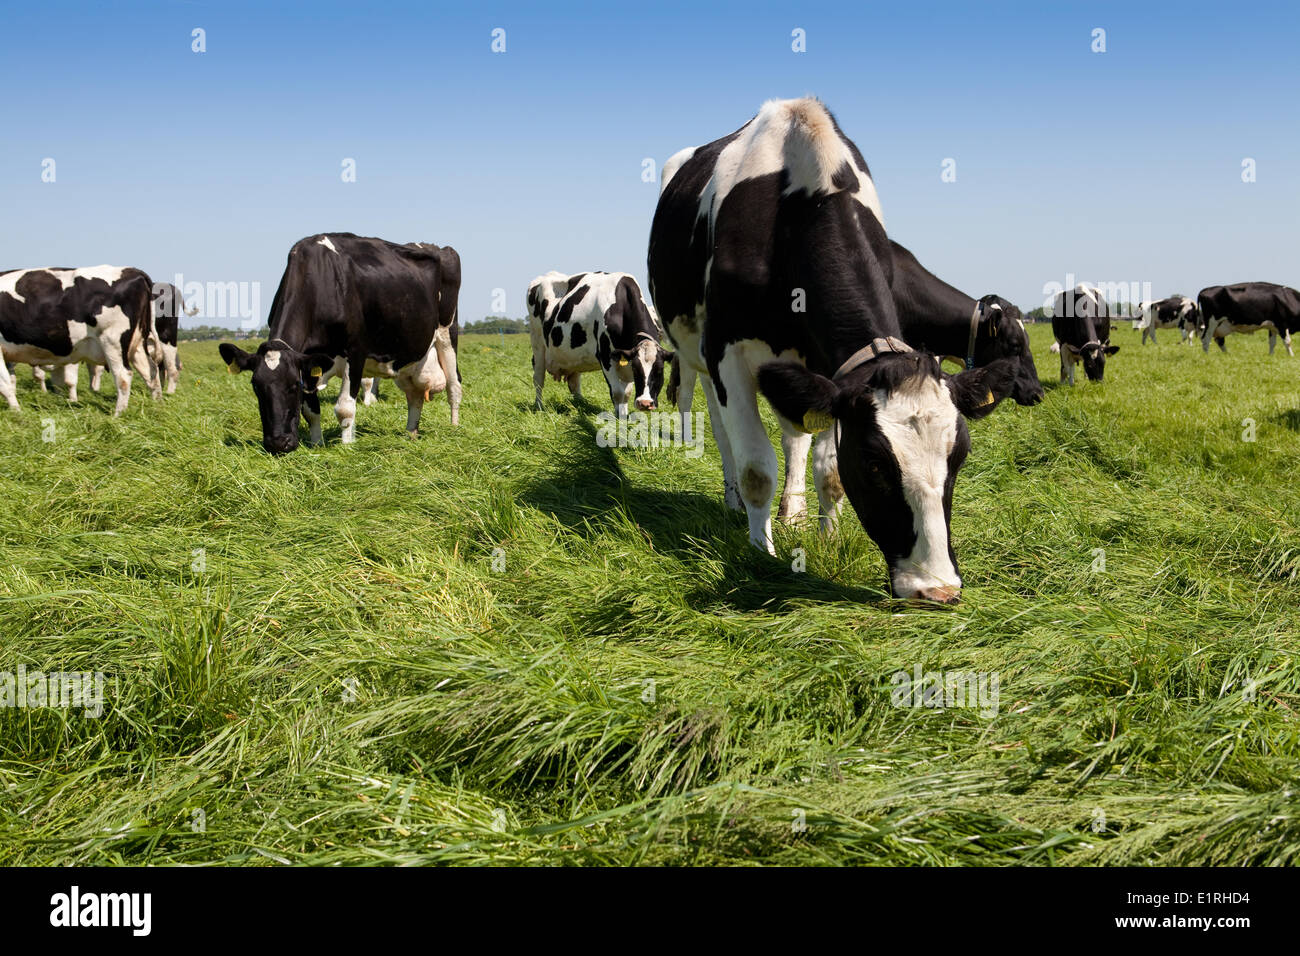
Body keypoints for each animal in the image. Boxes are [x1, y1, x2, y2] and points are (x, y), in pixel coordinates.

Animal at [0, 264, 161, 413]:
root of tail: (132, 270)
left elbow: (5, 385)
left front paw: (17, 412)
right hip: (137, 344)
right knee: (151, 372)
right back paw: (156, 406)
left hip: (112, 341)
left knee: (123, 376)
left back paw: (118, 414)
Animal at [220, 234, 465, 455]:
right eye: (256, 387)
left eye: (293, 386)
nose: (278, 444)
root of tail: (437, 247)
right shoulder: (309, 363)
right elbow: (311, 411)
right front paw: (316, 445)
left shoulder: (355, 353)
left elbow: (345, 408)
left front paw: (347, 448)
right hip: (408, 355)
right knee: (414, 395)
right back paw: (410, 434)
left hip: (447, 334)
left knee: (454, 386)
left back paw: (454, 430)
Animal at [525, 270, 670, 416]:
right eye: (636, 369)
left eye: (660, 370)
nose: (645, 403)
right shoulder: (605, 357)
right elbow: (617, 392)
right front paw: (619, 419)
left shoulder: (626, 358)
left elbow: (626, 393)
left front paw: (623, 415)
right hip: (537, 342)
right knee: (538, 378)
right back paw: (540, 408)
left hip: (572, 357)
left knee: (574, 382)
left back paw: (579, 405)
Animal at [644, 98, 1019, 606]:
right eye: (876, 464)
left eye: (958, 458)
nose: (937, 589)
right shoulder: (726, 354)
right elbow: (756, 467)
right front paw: (762, 553)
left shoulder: (832, 370)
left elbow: (828, 470)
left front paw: (828, 537)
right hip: (696, 355)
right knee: (723, 434)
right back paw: (733, 501)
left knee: (794, 435)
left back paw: (793, 511)